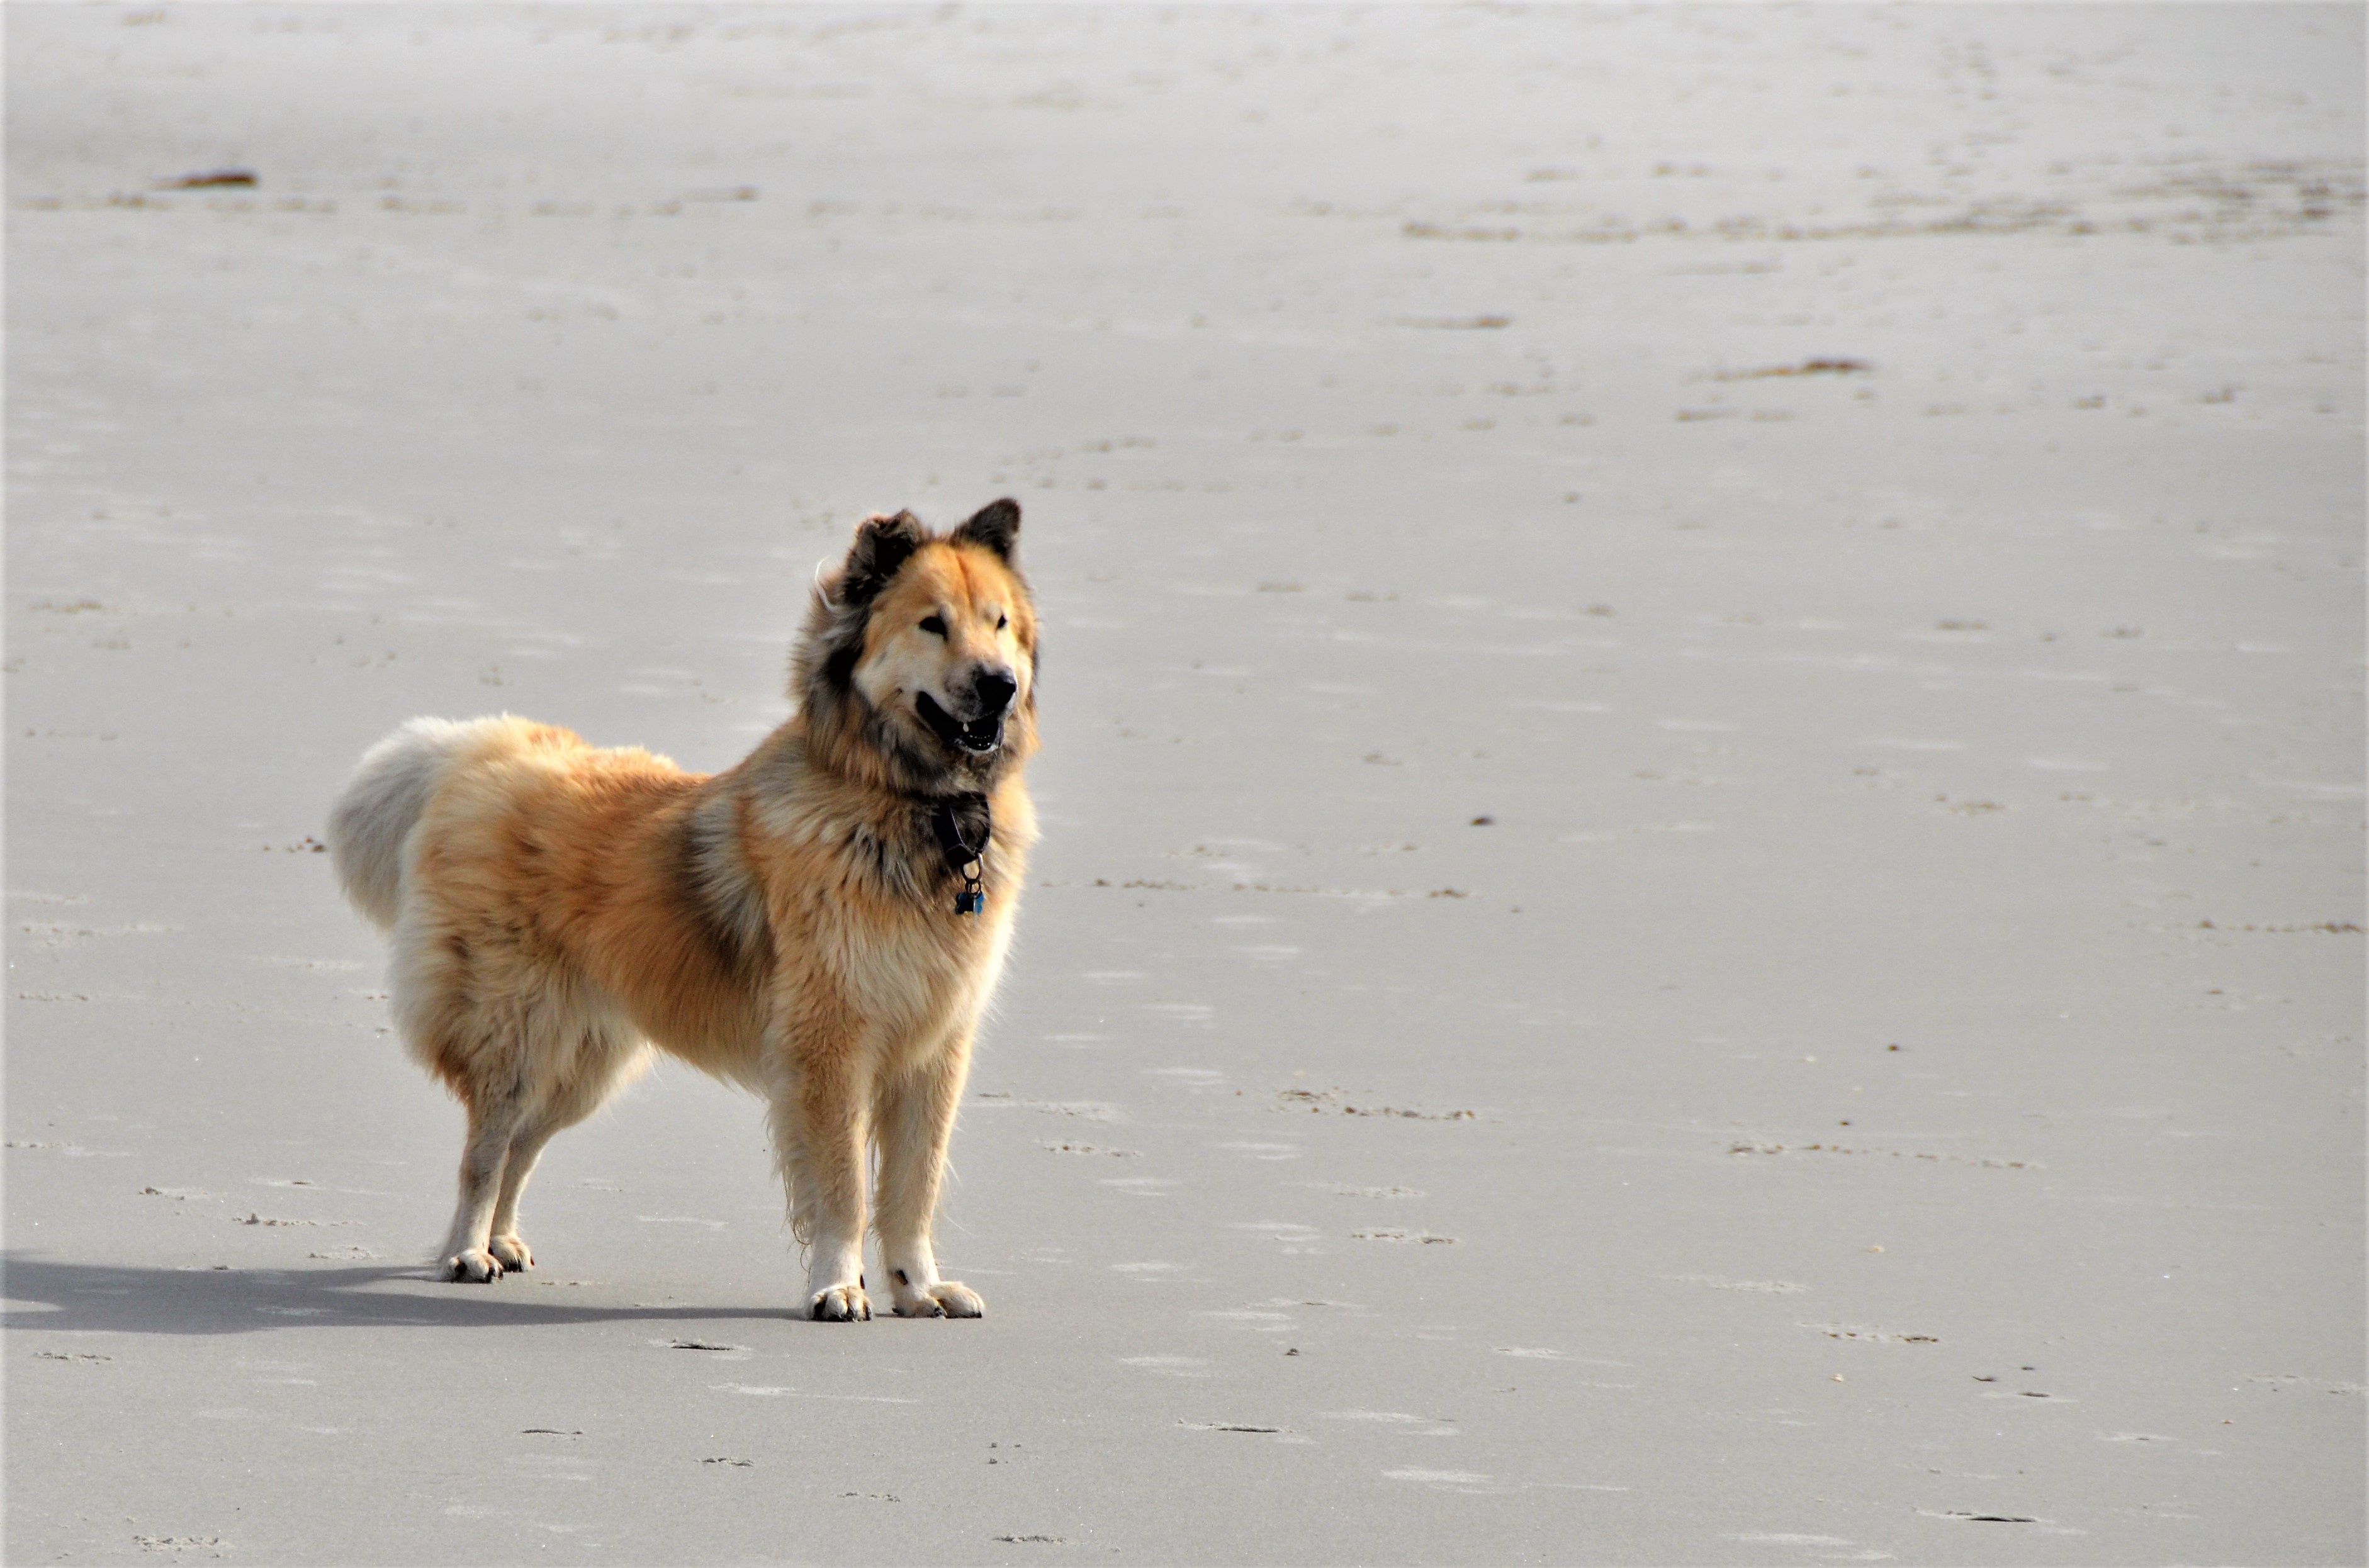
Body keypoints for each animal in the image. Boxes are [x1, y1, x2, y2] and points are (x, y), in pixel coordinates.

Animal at [326, 500, 1037, 1321]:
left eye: (998, 623)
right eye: (932, 624)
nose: (1000, 685)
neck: (910, 805)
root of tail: (485, 747)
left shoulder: (935, 1048)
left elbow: (913, 1186)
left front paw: (918, 1288)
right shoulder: (831, 1043)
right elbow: (845, 1188)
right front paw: (836, 1284)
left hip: (585, 1063)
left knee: (522, 1147)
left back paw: (503, 1243)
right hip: (517, 1036)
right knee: (485, 1149)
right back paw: (466, 1252)